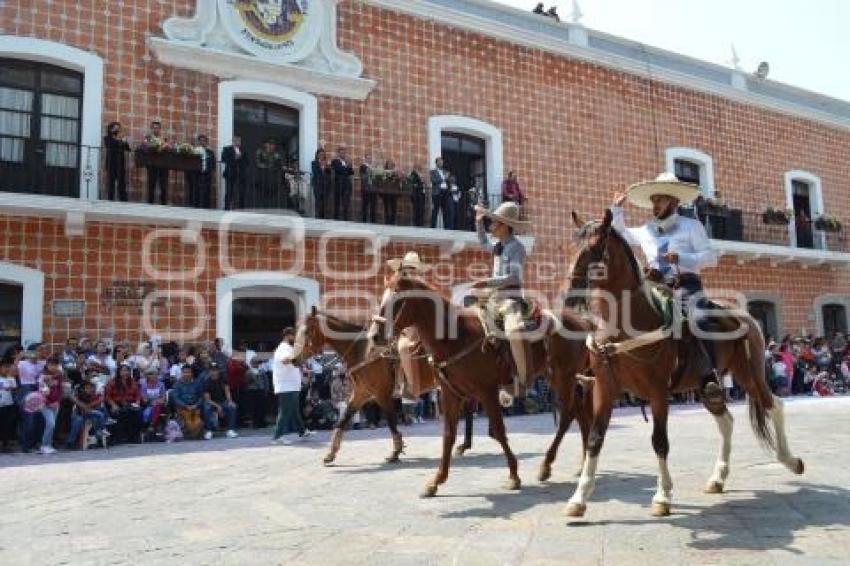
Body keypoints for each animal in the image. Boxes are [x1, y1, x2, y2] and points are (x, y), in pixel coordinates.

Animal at [296, 310, 476, 466]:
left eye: (307, 331)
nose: (294, 359)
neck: (363, 351)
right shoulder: (361, 393)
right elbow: (343, 420)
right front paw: (331, 454)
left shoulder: (381, 394)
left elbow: (391, 421)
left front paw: (396, 451)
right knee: (468, 410)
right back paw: (465, 444)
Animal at [372, 272, 588, 500]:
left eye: (396, 301)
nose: (374, 336)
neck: (456, 337)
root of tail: (581, 321)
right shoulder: (450, 393)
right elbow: (448, 435)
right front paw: (436, 481)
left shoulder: (487, 391)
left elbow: (499, 431)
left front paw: (513, 475)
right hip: (558, 377)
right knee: (579, 411)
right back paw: (581, 465)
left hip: (564, 377)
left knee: (567, 415)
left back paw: (546, 466)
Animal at [564, 212, 800, 520]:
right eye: (570, 245)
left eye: (594, 249)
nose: (570, 295)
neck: (625, 326)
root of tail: (746, 317)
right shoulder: (605, 389)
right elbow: (594, 439)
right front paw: (579, 498)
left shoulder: (657, 392)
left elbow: (659, 441)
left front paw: (663, 495)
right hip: (708, 387)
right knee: (727, 422)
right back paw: (717, 478)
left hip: (750, 375)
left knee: (774, 406)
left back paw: (791, 460)